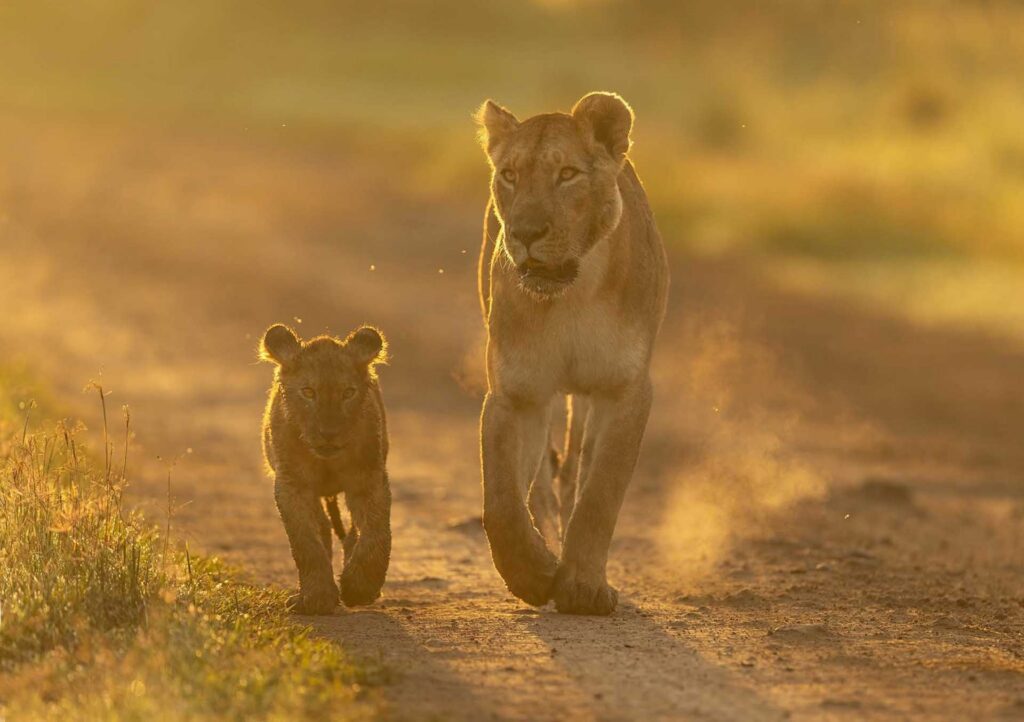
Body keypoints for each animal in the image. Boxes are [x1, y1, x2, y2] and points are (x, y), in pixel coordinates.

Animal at [260, 323, 391, 614]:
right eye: (308, 392)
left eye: (348, 393)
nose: (329, 434)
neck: (326, 461)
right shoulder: (292, 485)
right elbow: (306, 542)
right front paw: (316, 597)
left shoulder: (369, 479)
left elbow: (375, 531)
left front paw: (359, 587)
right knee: (323, 527)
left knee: (352, 531)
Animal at [476, 92, 669, 615]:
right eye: (510, 175)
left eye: (567, 174)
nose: (525, 233)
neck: (571, 296)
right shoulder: (515, 394)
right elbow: (501, 500)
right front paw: (534, 573)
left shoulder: (624, 391)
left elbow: (599, 494)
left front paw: (582, 586)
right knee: (541, 480)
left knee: (572, 475)